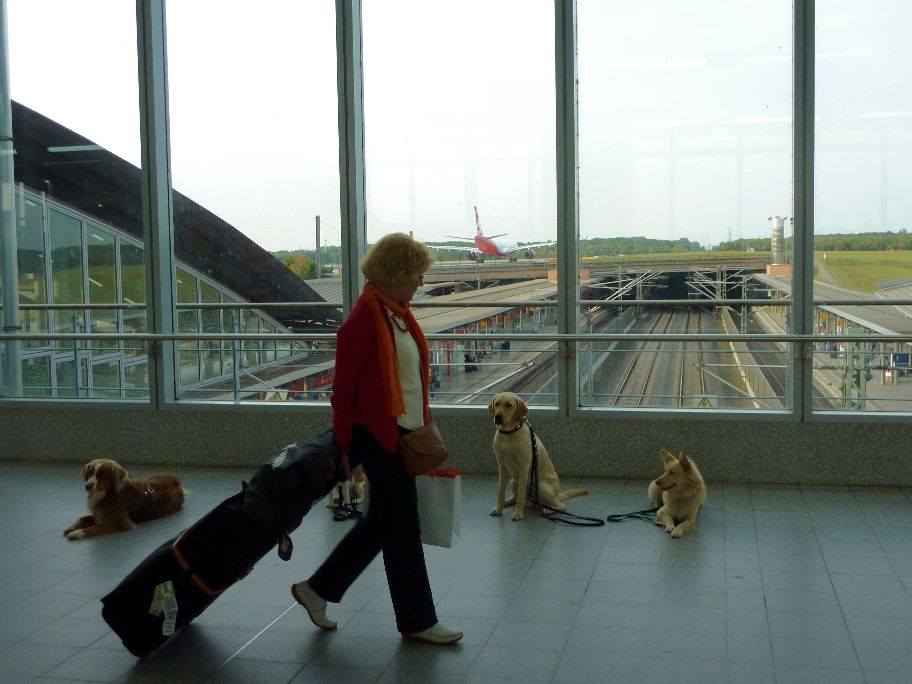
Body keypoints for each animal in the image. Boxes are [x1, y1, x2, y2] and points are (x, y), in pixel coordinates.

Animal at [488, 390, 588, 520]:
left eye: (509, 405)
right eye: (497, 404)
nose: (498, 416)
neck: (509, 434)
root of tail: (558, 494)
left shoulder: (524, 466)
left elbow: (520, 495)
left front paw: (518, 513)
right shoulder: (501, 465)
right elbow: (501, 491)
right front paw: (498, 508)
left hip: (539, 485)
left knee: (560, 505)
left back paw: (547, 510)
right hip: (514, 481)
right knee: (515, 497)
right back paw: (506, 503)